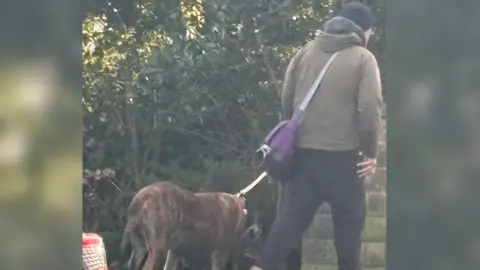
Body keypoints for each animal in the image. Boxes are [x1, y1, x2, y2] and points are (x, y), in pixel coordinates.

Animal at [122, 181, 260, 270]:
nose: (259, 232)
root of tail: (142, 197)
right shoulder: (220, 252)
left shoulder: (175, 252)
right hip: (157, 249)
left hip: (138, 246)